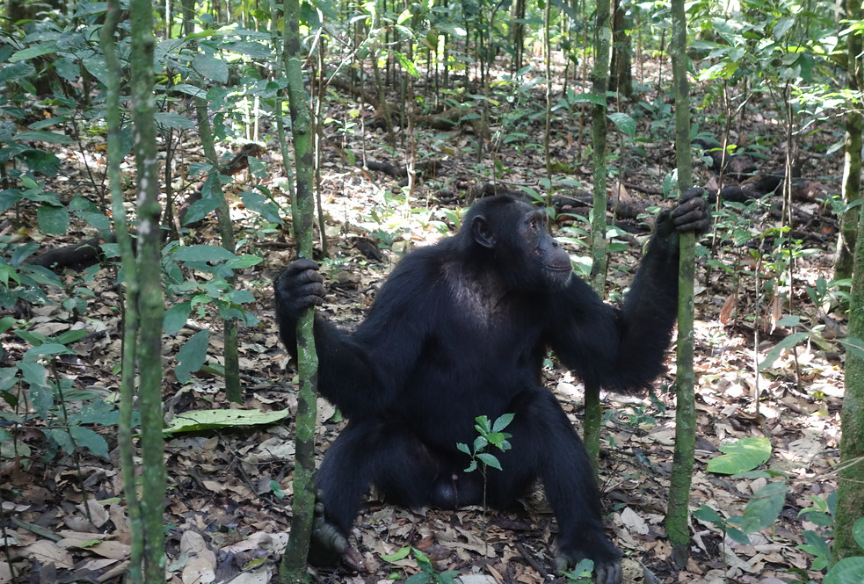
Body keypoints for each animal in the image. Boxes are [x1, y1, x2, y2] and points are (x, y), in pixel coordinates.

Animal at [276, 189, 708, 580]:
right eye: (533, 226)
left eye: (544, 224)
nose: (555, 242)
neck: (491, 278)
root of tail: (459, 489)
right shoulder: (411, 278)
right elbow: (375, 372)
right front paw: (291, 300)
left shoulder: (563, 290)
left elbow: (619, 357)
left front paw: (672, 234)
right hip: (411, 479)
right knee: (375, 426)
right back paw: (324, 536)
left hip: (503, 480)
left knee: (541, 409)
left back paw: (588, 543)